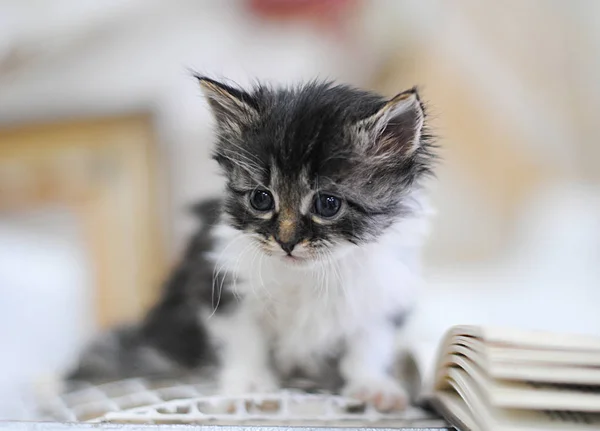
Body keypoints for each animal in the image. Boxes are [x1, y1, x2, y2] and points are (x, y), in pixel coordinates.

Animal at [70, 77, 436, 412]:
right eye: (261, 199)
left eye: (328, 204)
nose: (286, 242)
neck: (307, 274)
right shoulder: (219, 279)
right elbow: (243, 339)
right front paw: (249, 384)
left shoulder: (384, 293)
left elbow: (368, 344)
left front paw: (372, 384)